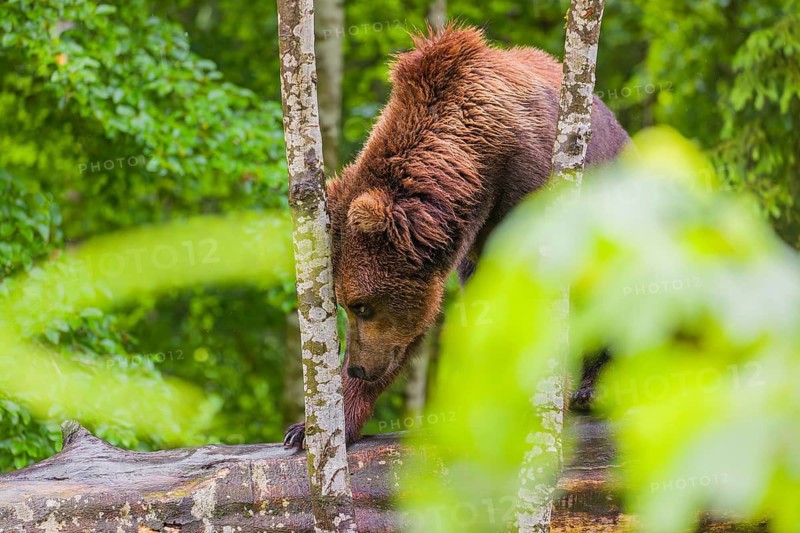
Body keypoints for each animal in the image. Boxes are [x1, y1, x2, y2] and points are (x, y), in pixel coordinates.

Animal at [284, 24, 629, 448]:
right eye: (344, 304)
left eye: (362, 305)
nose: (358, 369)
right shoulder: (470, 242)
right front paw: (312, 428)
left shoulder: (530, 187)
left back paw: (595, 387)